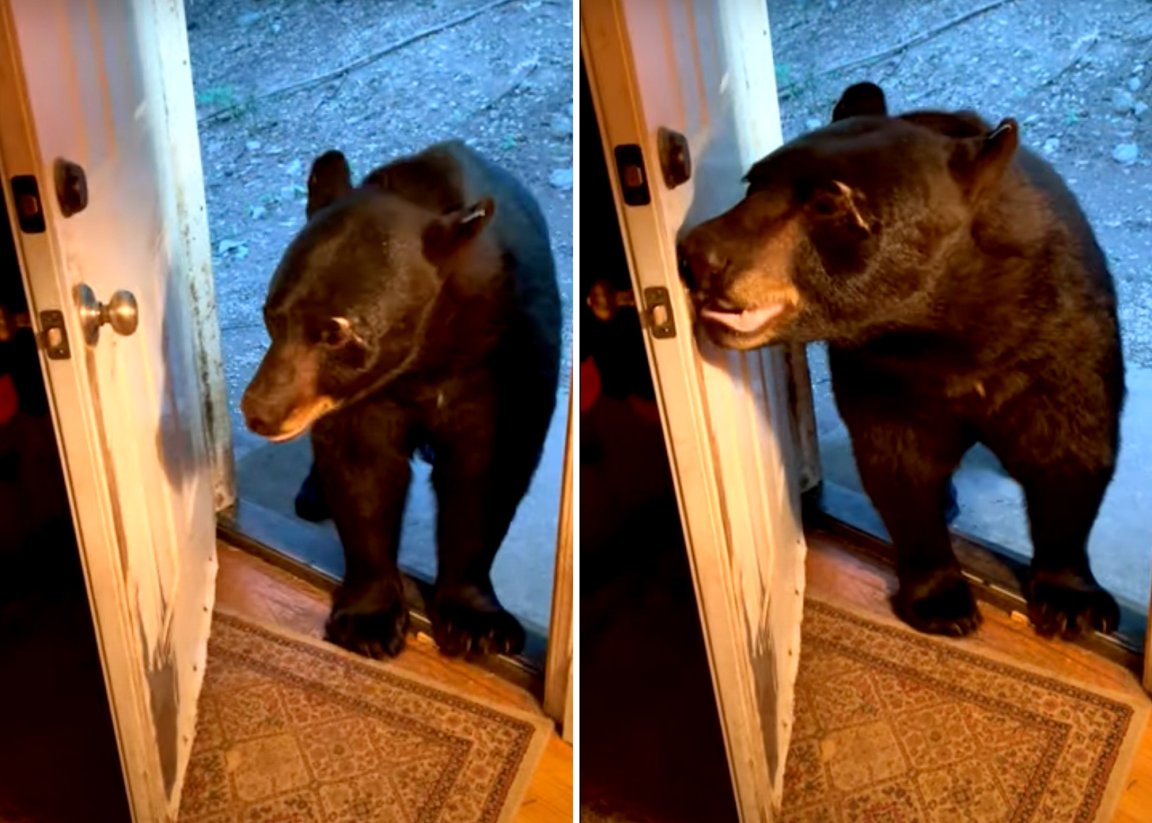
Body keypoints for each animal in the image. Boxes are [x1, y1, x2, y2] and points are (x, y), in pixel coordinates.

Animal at [240, 140, 561, 659]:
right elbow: (364, 470)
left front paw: (478, 623)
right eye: (271, 313)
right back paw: (313, 493)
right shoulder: (366, 399)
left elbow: (486, 470)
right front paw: (369, 620)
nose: (260, 412)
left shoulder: (506, 362)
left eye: (337, 332)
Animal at [678, 82, 1124, 640]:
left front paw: (1072, 601)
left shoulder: (1055, 341)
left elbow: (1068, 452)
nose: (698, 255)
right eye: (753, 180)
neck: (942, 334)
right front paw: (941, 601)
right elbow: (898, 466)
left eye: (828, 201)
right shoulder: (883, 374)